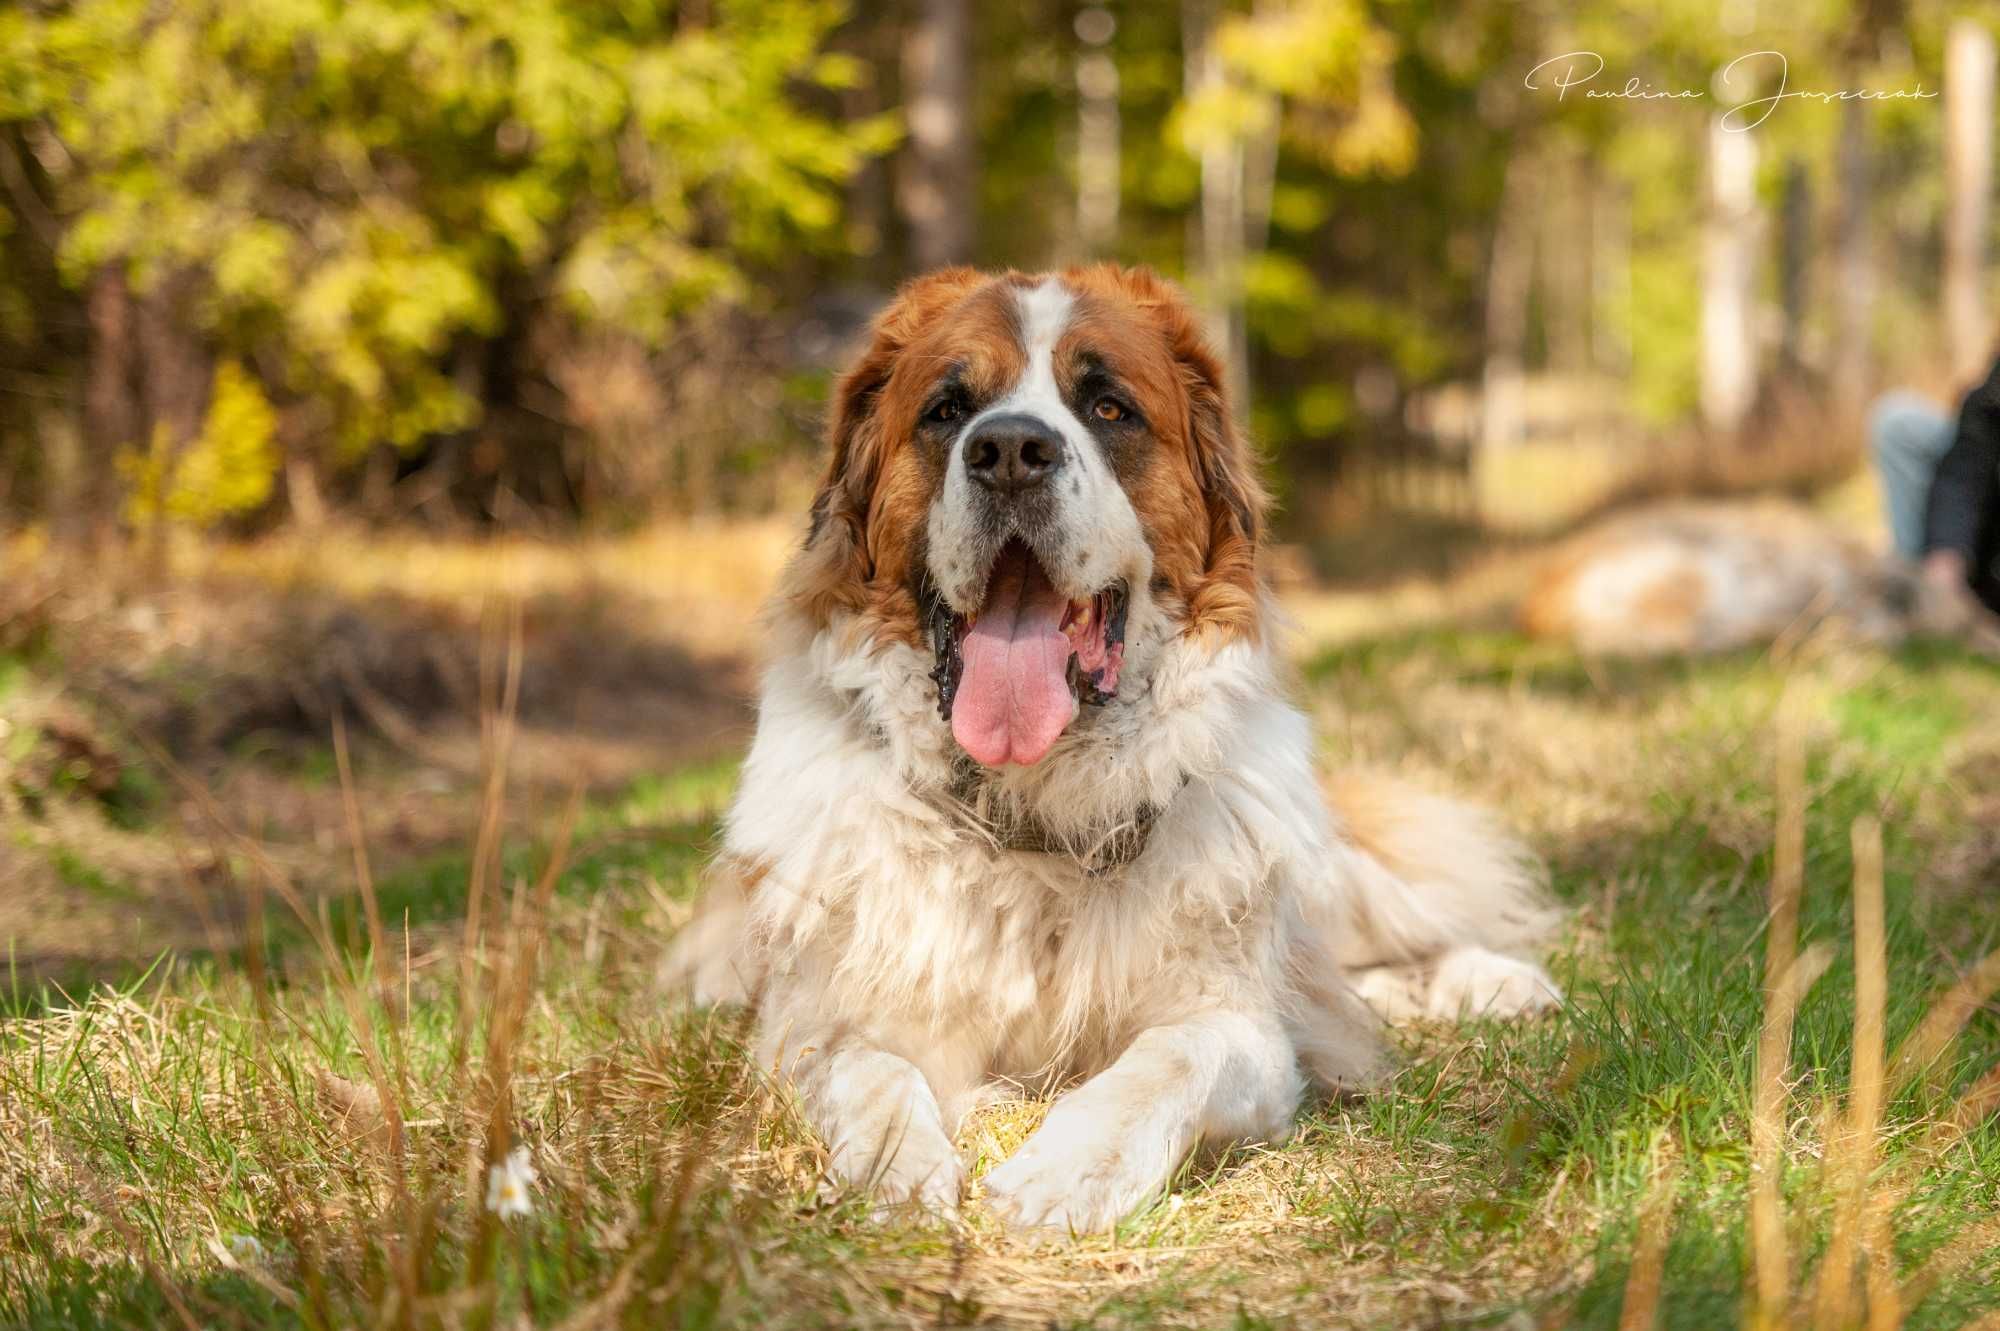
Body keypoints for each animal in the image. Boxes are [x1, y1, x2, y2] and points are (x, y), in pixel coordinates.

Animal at [672, 263, 1560, 1231]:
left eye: (1107, 408)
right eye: (948, 409)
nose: (1009, 451)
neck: (1025, 817)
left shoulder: (1239, 1026)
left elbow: (1171, 1058)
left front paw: (1064, 1170)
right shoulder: (814, 1019)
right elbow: (860, 1065)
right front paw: (893, 1173)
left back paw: (1501, 983)